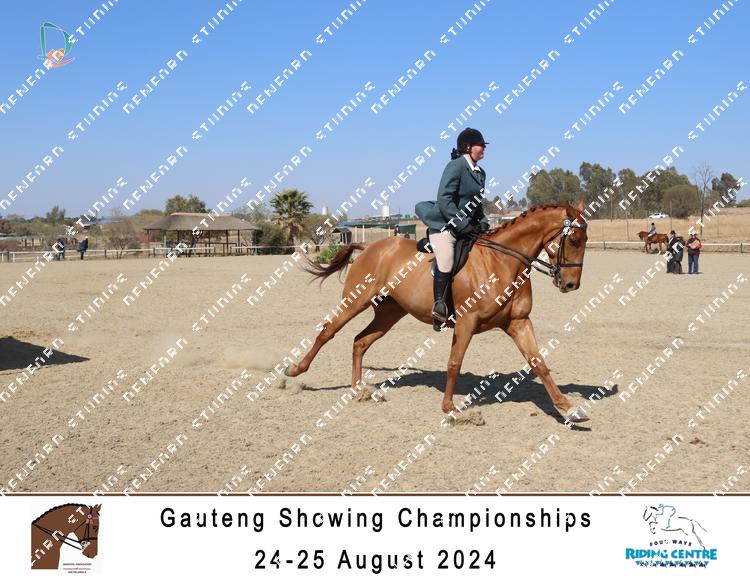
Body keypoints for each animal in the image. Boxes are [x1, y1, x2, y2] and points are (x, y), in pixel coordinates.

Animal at [285, 202, 591, 424]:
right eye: (575, 240)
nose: (571, 285)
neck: (503, 263)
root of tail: (370, 246)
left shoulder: (518, 322)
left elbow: (539, 363)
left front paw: (568, 408)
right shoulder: (467, 322)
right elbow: (454, 362)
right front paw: (449, 408)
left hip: (389, 314)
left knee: (360, 341)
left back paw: (358, 389)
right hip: (354, 302)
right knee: (328, 331)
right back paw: (295, 370)